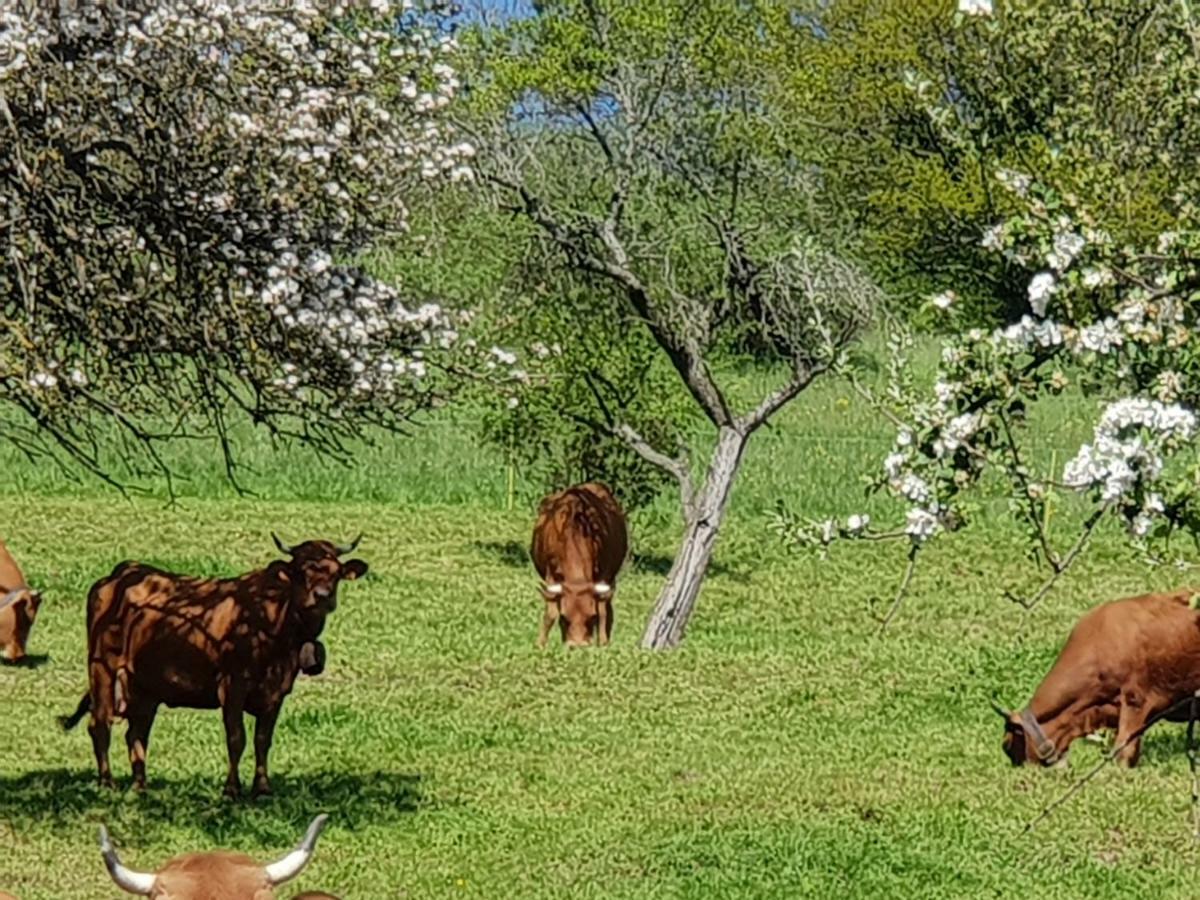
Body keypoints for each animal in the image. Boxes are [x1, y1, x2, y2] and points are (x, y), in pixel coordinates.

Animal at [60, 535, 367, 796]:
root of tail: (120, 574)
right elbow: (236, 738)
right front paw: (231, 789)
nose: (323, 595)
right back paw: (107, 783)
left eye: (336, 572)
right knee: (100, 724)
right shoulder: (232, 685)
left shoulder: (277, 691)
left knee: (136, 734)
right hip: (102, 668)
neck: (274, 623)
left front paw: (262, 787)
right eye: (302, 571)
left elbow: (263, 740)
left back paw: (139, 785)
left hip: (144, 686)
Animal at [532, 487, 628, 648]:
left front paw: (603, 641)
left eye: (592, 617)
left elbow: (603, 611)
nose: (578, 645)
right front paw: (540, 644)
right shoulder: (550, 575)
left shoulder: (604, 575)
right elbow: (550, 614)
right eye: (564, 618)